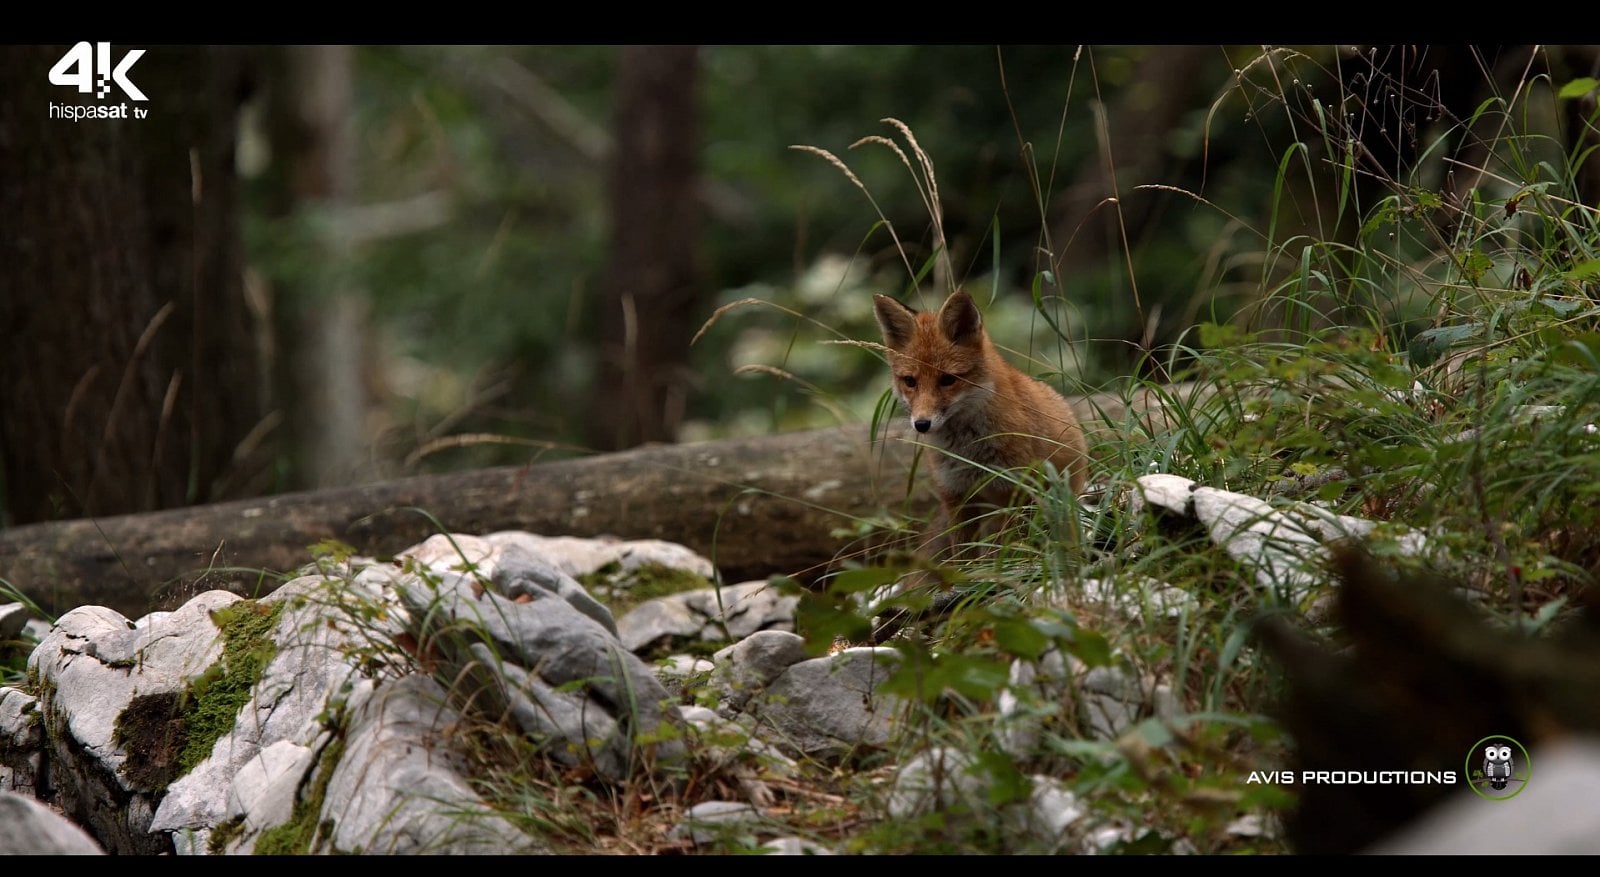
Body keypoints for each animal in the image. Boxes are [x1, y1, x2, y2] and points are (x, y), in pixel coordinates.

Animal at [876, 291, 1088, 556]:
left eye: (948, 379)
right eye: (910, 381)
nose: (922, 424)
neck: (968, 451)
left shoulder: (1013, 492)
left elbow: (1007, 549)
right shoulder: (956, 496)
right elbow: (963, 556)